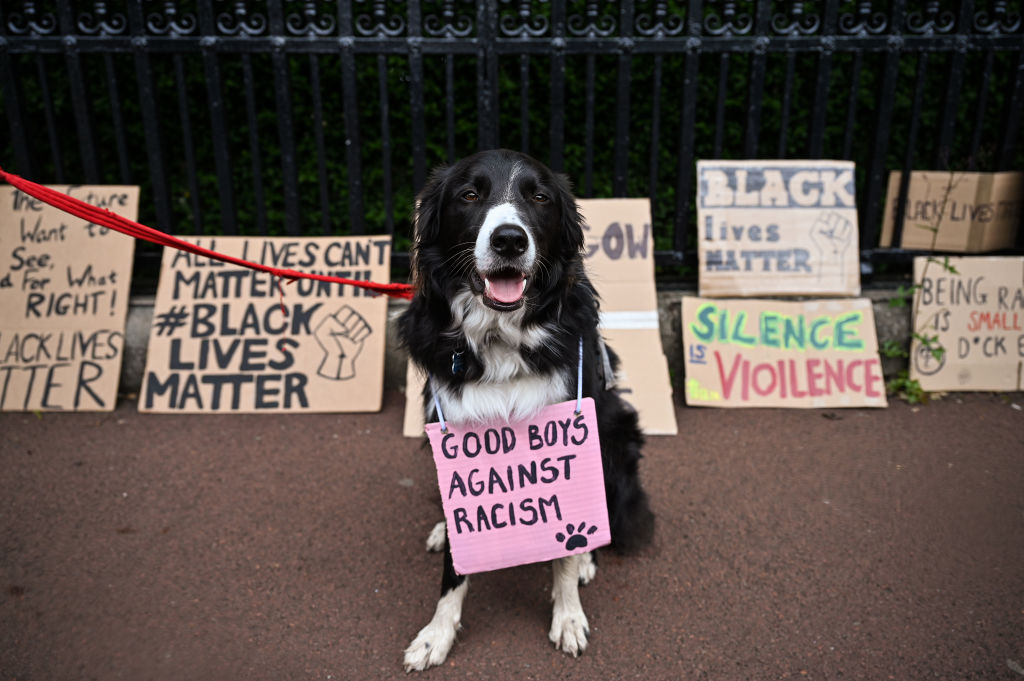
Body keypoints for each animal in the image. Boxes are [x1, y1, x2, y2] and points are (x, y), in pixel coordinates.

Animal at [395, 150, 651, 667]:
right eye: (470, 194)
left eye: (539, 197)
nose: (510, 239)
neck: (500, 335)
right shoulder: (454, 439)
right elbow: (454, 569)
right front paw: (436, 634)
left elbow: (564, 556)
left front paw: (569, 613)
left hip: (616, 432)